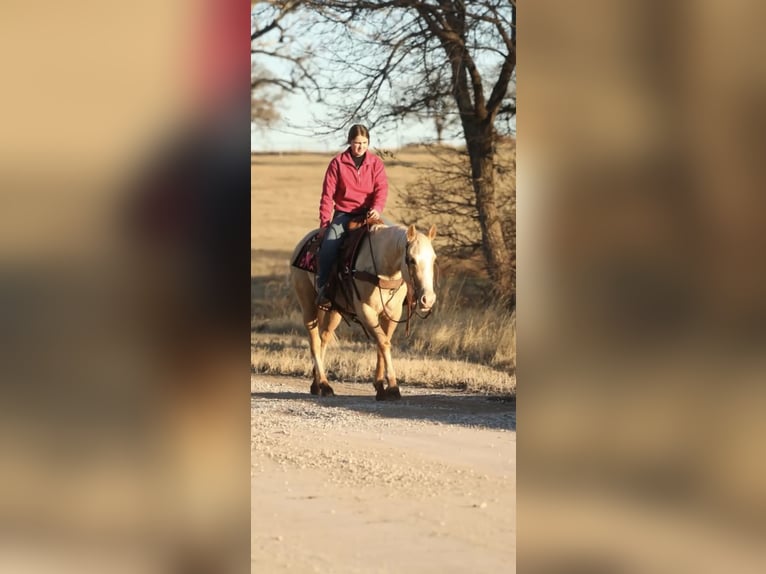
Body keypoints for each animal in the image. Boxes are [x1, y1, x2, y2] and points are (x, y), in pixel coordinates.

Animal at [289, 221, 437, 400]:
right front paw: (393, 387)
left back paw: (317, 384)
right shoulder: (366, 311)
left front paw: (380, 386)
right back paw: (325, 385)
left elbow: (383, 342)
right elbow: (383, 342)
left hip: (334, 311)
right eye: (411, 260)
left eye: (433, 259)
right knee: (314, 342)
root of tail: (303, 242)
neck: (383, 269)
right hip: (308, 305)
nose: (428, 299)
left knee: (324, 338)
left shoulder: (392, 314)